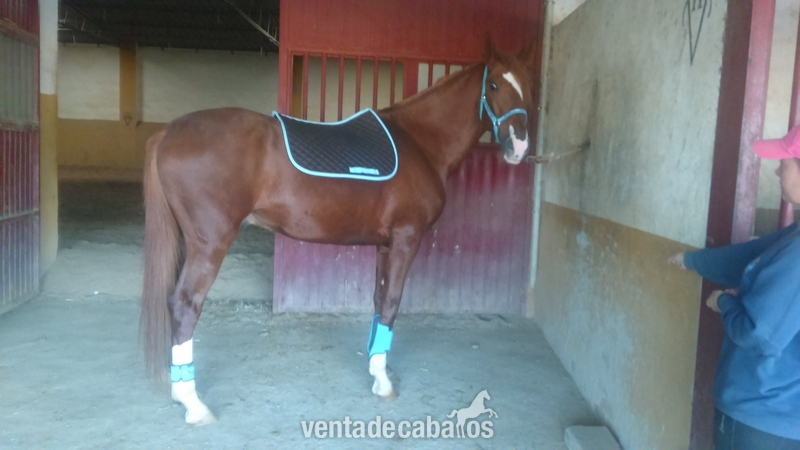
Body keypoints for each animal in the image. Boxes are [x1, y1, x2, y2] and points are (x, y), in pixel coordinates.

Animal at [141, 39, 537, 425]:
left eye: (529, 86)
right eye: (494, 85)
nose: (519, 147)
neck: (421, 142)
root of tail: (169, 131)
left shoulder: (385, 245)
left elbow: (378, 302)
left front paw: (377, 369)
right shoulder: (406, 239)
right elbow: (391, 304)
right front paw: (384, 382)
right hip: (210, 244)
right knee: (185, 305)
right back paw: (194, 404)